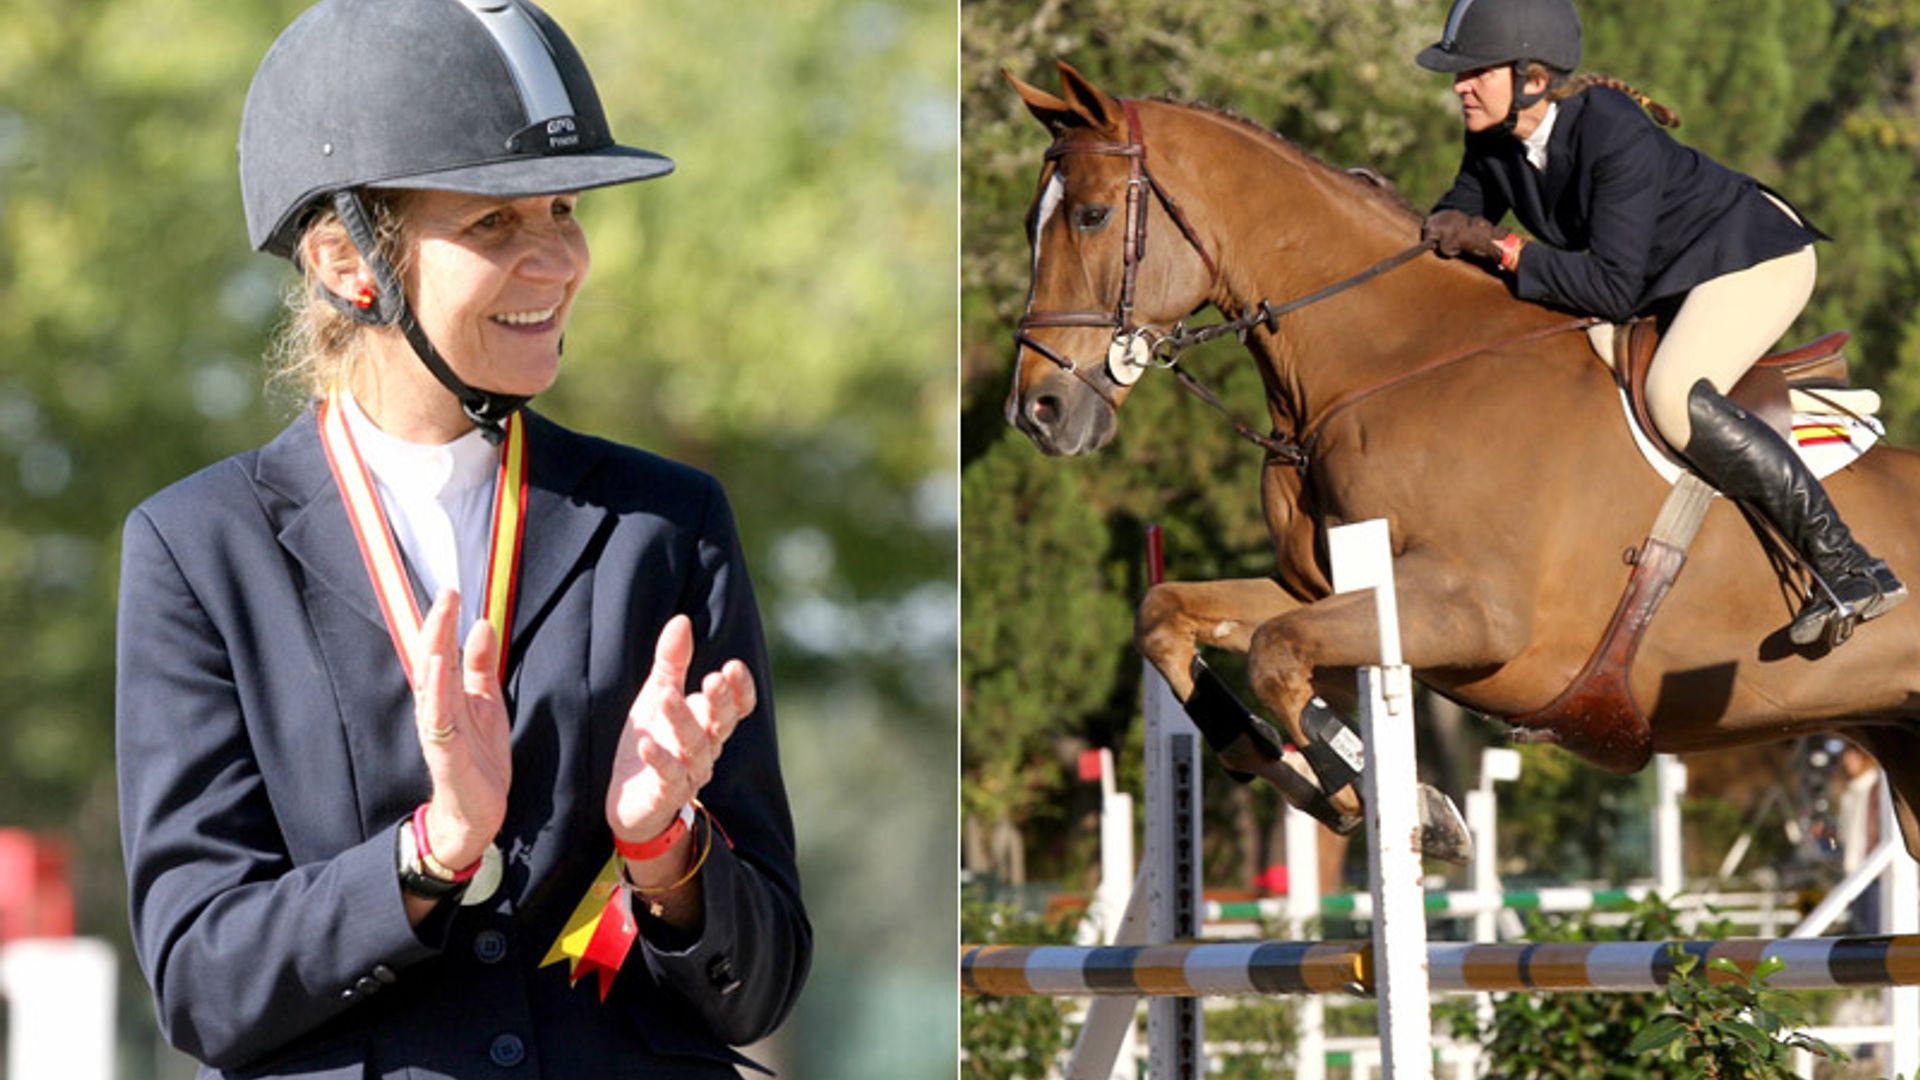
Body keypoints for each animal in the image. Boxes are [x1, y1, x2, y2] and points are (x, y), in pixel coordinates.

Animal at [998, 65, 1920, 857]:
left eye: (1090, 215)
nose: (1039, 412)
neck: (1388, 360)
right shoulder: (1326, 587)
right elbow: (1172, 617)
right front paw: (1305, 777)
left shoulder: (1475, 613)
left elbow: (1276, 654)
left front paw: (1405, 804)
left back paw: (1855, 587)